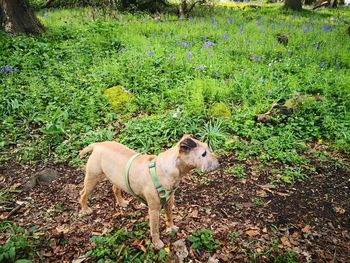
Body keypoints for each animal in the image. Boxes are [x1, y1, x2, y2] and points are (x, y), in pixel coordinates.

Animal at [79, 136, 219, 250]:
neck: (166, 169)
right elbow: (155, 229)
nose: (219, 161)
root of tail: (98, 144)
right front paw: (157, 243)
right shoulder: (154, 210)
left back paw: (121, 202)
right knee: (83, 194)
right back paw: (85, 209)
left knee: (115, 189)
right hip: (92, 179)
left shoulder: (169, 201)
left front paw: (171, 228)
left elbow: (170, 216)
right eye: (204, 154)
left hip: (116, 178)